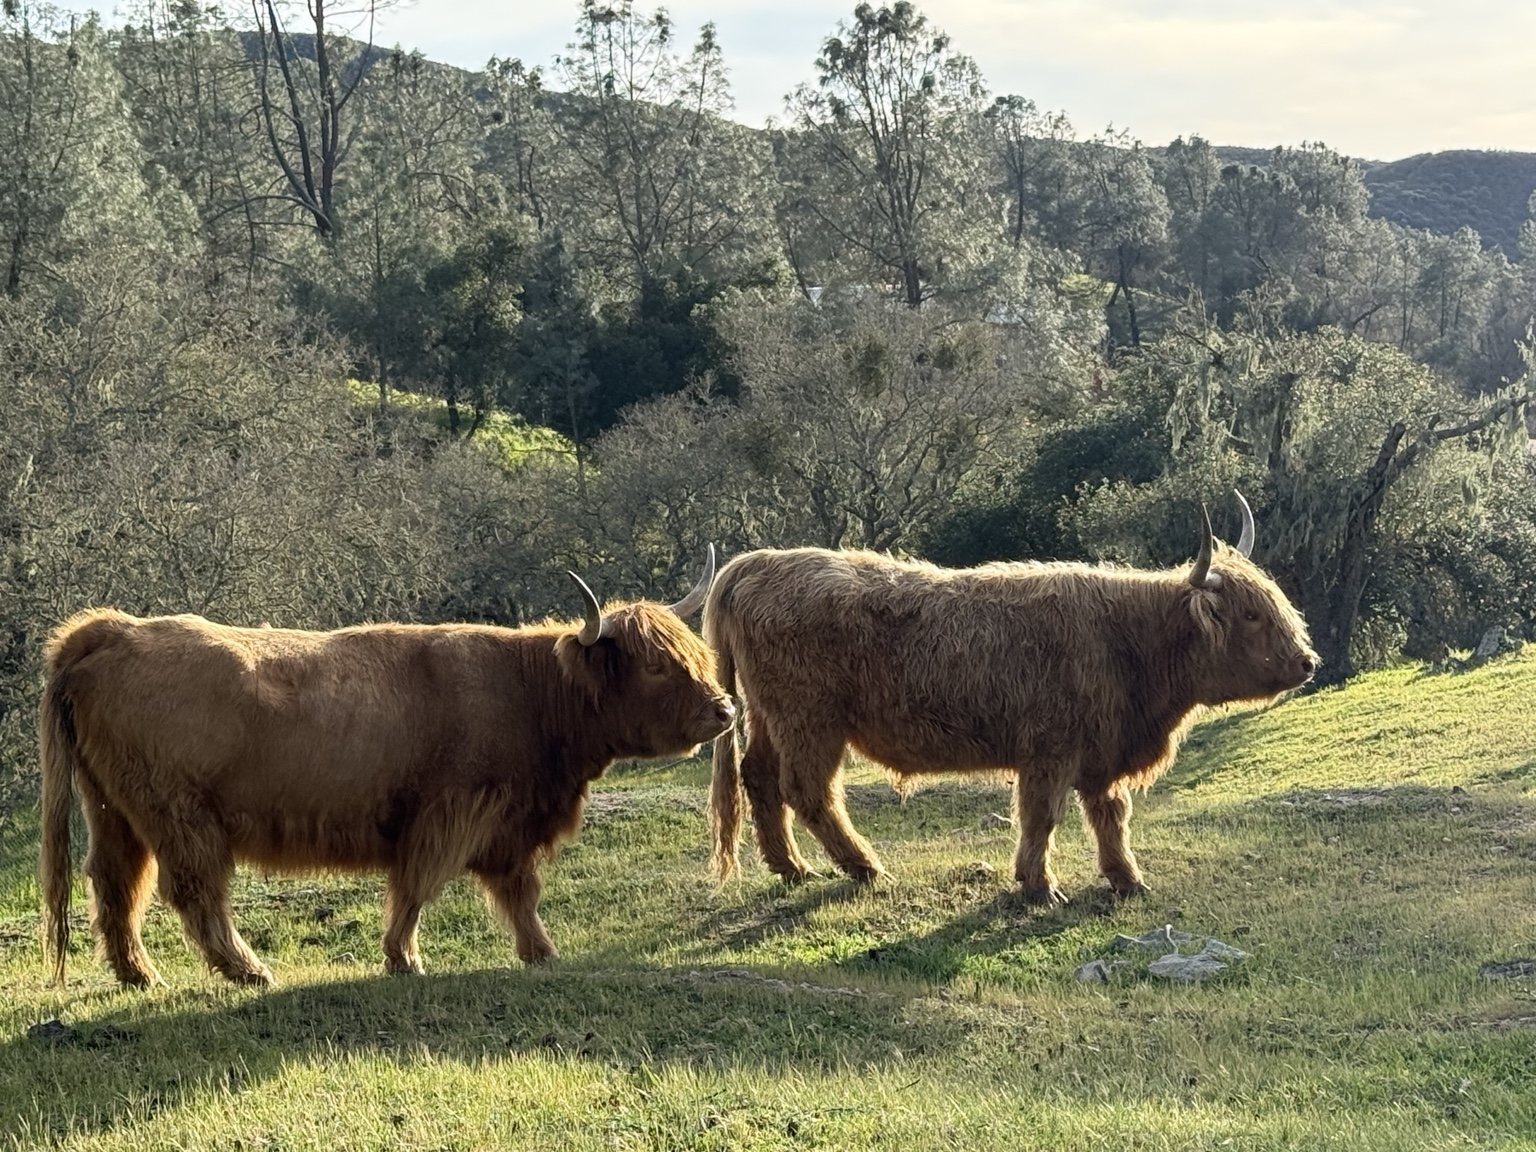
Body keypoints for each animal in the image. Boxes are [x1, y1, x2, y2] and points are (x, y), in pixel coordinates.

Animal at [39, 550, 734, 988]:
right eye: (655, 665)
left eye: (693, 652)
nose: (724, 709)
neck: (530, 692)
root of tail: (111, 629)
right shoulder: (449, 812)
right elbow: (417, 888)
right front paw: (404, 959)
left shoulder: (509, 826)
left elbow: (519, 893)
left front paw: (541, 953)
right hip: (180, 814)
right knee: (193, 890)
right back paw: (248, 969)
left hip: (115, 810)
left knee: (115, 883)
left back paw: (140, 975)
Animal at [705, 496, 1317, 904]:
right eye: (1252, 614)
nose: (1308, 662)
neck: (1128, 640)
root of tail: (752, 563)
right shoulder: (1050, 751)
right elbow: (1042, 817)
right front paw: (1038, 886)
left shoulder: (1102, 752)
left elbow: (1110, 815)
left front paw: (1126, 879)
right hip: (809, 719)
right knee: (808, 790)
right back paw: (865, 867)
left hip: (770, 716)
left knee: (759, 778)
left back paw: (792, 868)